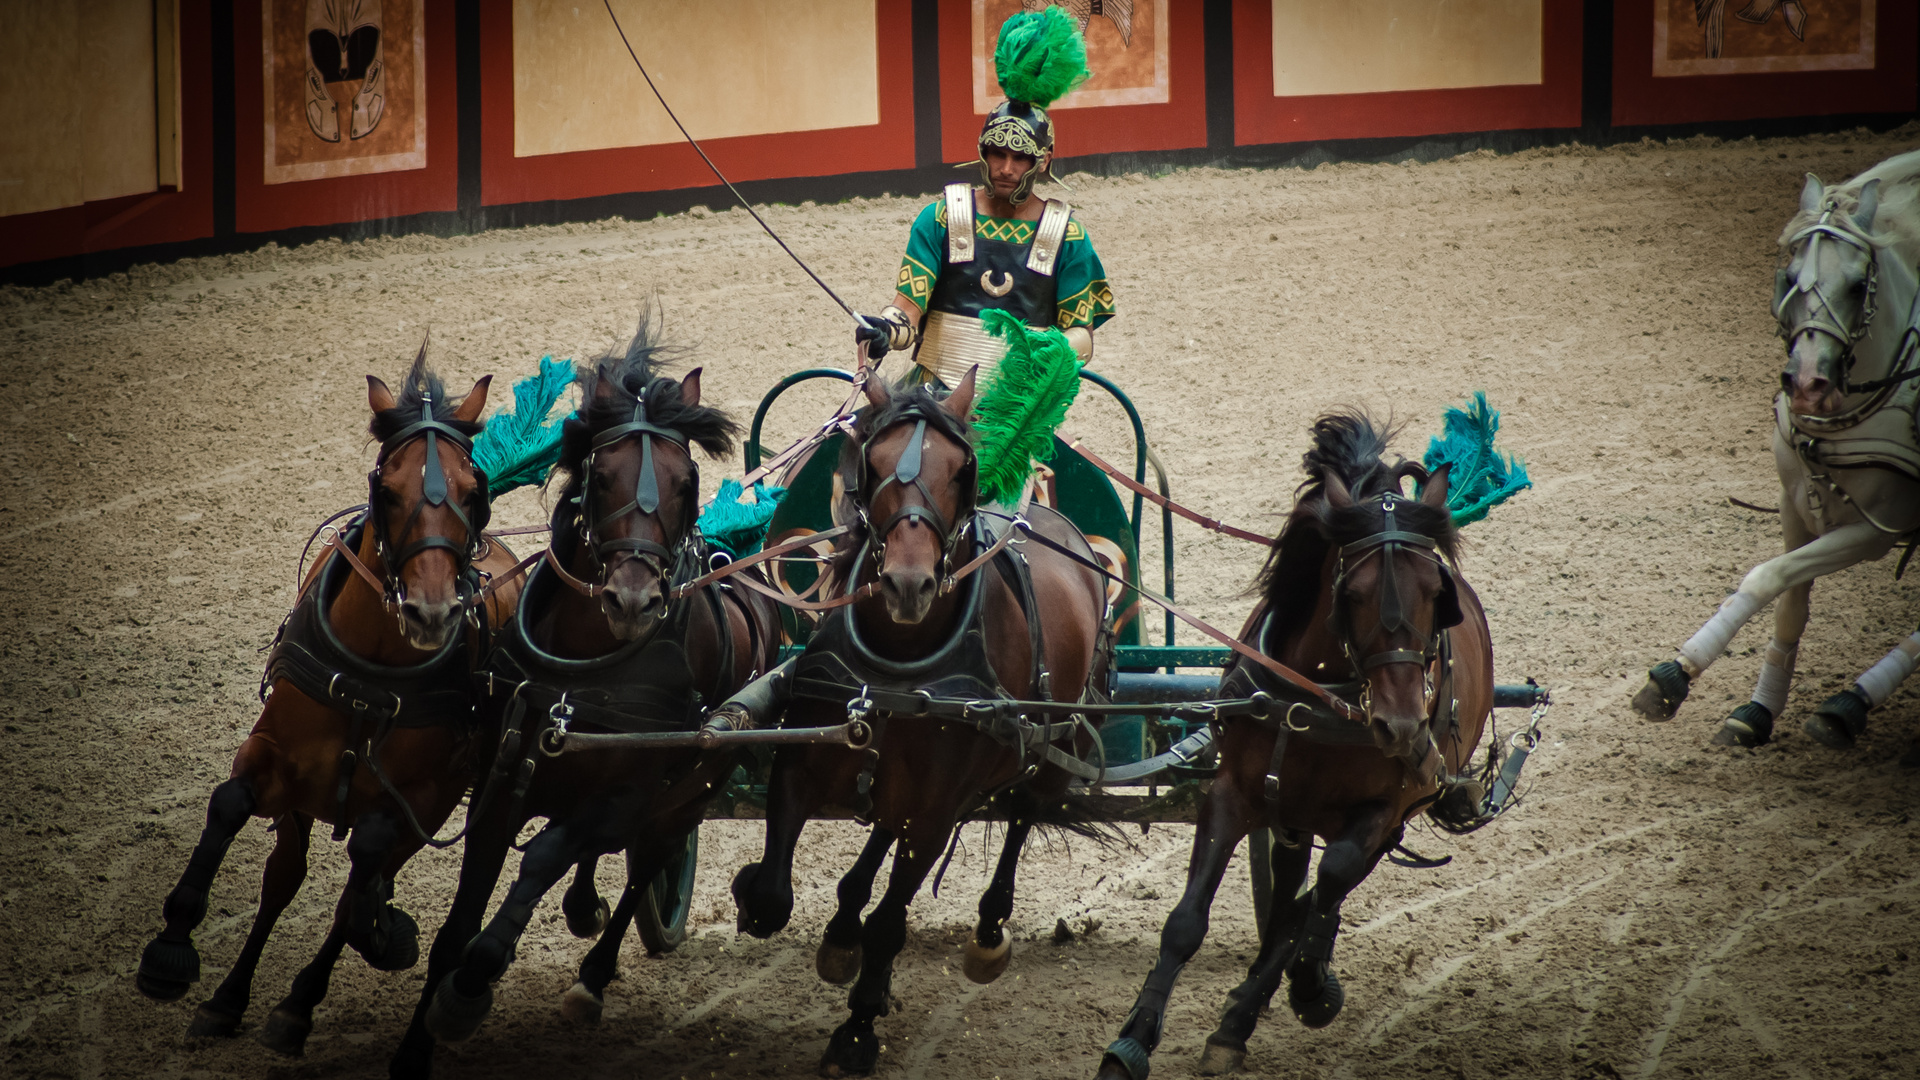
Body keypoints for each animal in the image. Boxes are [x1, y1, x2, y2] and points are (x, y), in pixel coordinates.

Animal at [132, 351, 526, 1053]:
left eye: (472, 490)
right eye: (385, 488)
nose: (430, 611)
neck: (371, 677)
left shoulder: (421, 801)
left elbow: (360, 879)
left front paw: (334, 973)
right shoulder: (272, 756)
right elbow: (229, 805)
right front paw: (171, 950)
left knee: (353, 882)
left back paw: (303, 997)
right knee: (283, 879)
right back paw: (229, 999)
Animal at [385, 320, 775, 1076]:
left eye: (688, 481)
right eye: (602, 475)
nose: (633, 598)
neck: (591, 667)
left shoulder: (627, 794)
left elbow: (544, 858)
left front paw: (473, 984)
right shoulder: (502, 780)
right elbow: (460, 917)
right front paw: (416, 1042)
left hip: (692, 789)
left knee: (647, 861)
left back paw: (592, 975)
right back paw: (583, 906)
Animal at [725, 372, 1113, 1076]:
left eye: (962, 471)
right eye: (872, 465)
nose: (908, 585)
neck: (900, 665)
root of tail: (1057, 525)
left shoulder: (936, 813)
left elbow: (891, 922)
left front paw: (856, 1031)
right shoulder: (799, 764)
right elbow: (771, 893)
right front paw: (766, 903)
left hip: (1051, 747)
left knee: (1021, 817)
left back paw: (987, 932)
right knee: (882, 827)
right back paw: (843, 923)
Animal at [1098, 407, 1497, 1068]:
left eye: (1436, 593)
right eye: (1351, 592)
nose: (1401, 728)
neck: (1325, 700)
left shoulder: (1387, 808)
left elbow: (1329, 883)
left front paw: (1305, 986)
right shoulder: (1234, 793)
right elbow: (1187, 921)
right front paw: (1132, 1039)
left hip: (1387, 812)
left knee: (1317, 892)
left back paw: (1261, 1002)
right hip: (1289, 808)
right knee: (1289, 885)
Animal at [1635, 148, 1920, 757]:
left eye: (1858, 285)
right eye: (1790, 278)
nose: (1808, 383)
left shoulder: (1876, 528)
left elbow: (1769, 577)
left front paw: (1675, 676)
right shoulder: (1795, 504)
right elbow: (1785, 600)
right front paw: (1749, 708)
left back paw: (1851, 704)